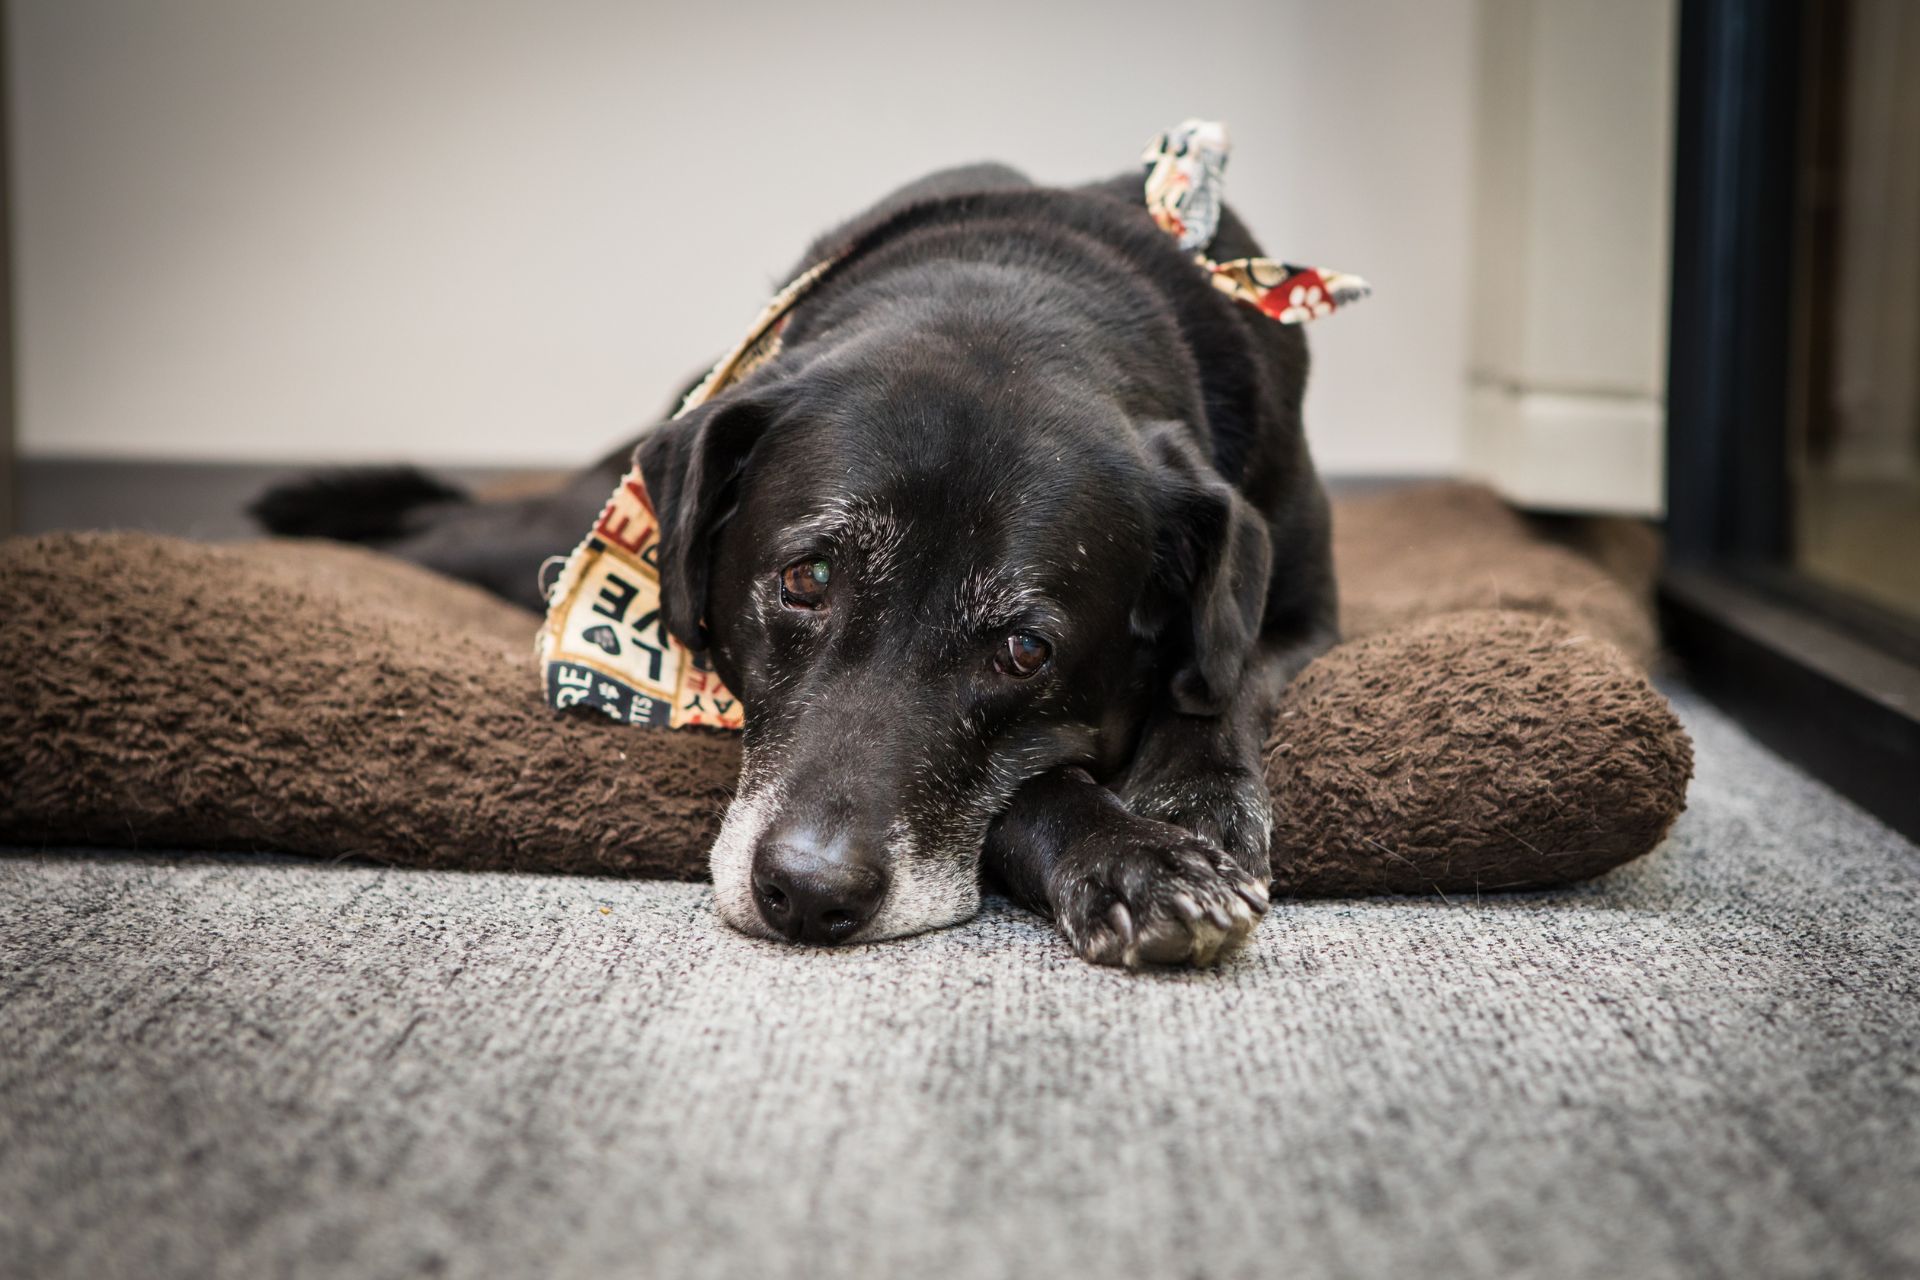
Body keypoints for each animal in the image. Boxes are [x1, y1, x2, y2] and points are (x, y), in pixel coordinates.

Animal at [251, 160, 1336, 967]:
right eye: (807, 580)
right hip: (554, 538)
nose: (807, 896)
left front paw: (1187, 804)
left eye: (1026, 651)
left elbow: (1224, 682)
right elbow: (1034, 785)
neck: (1021, 279)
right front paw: (1132, 856)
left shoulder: (1300, 607)